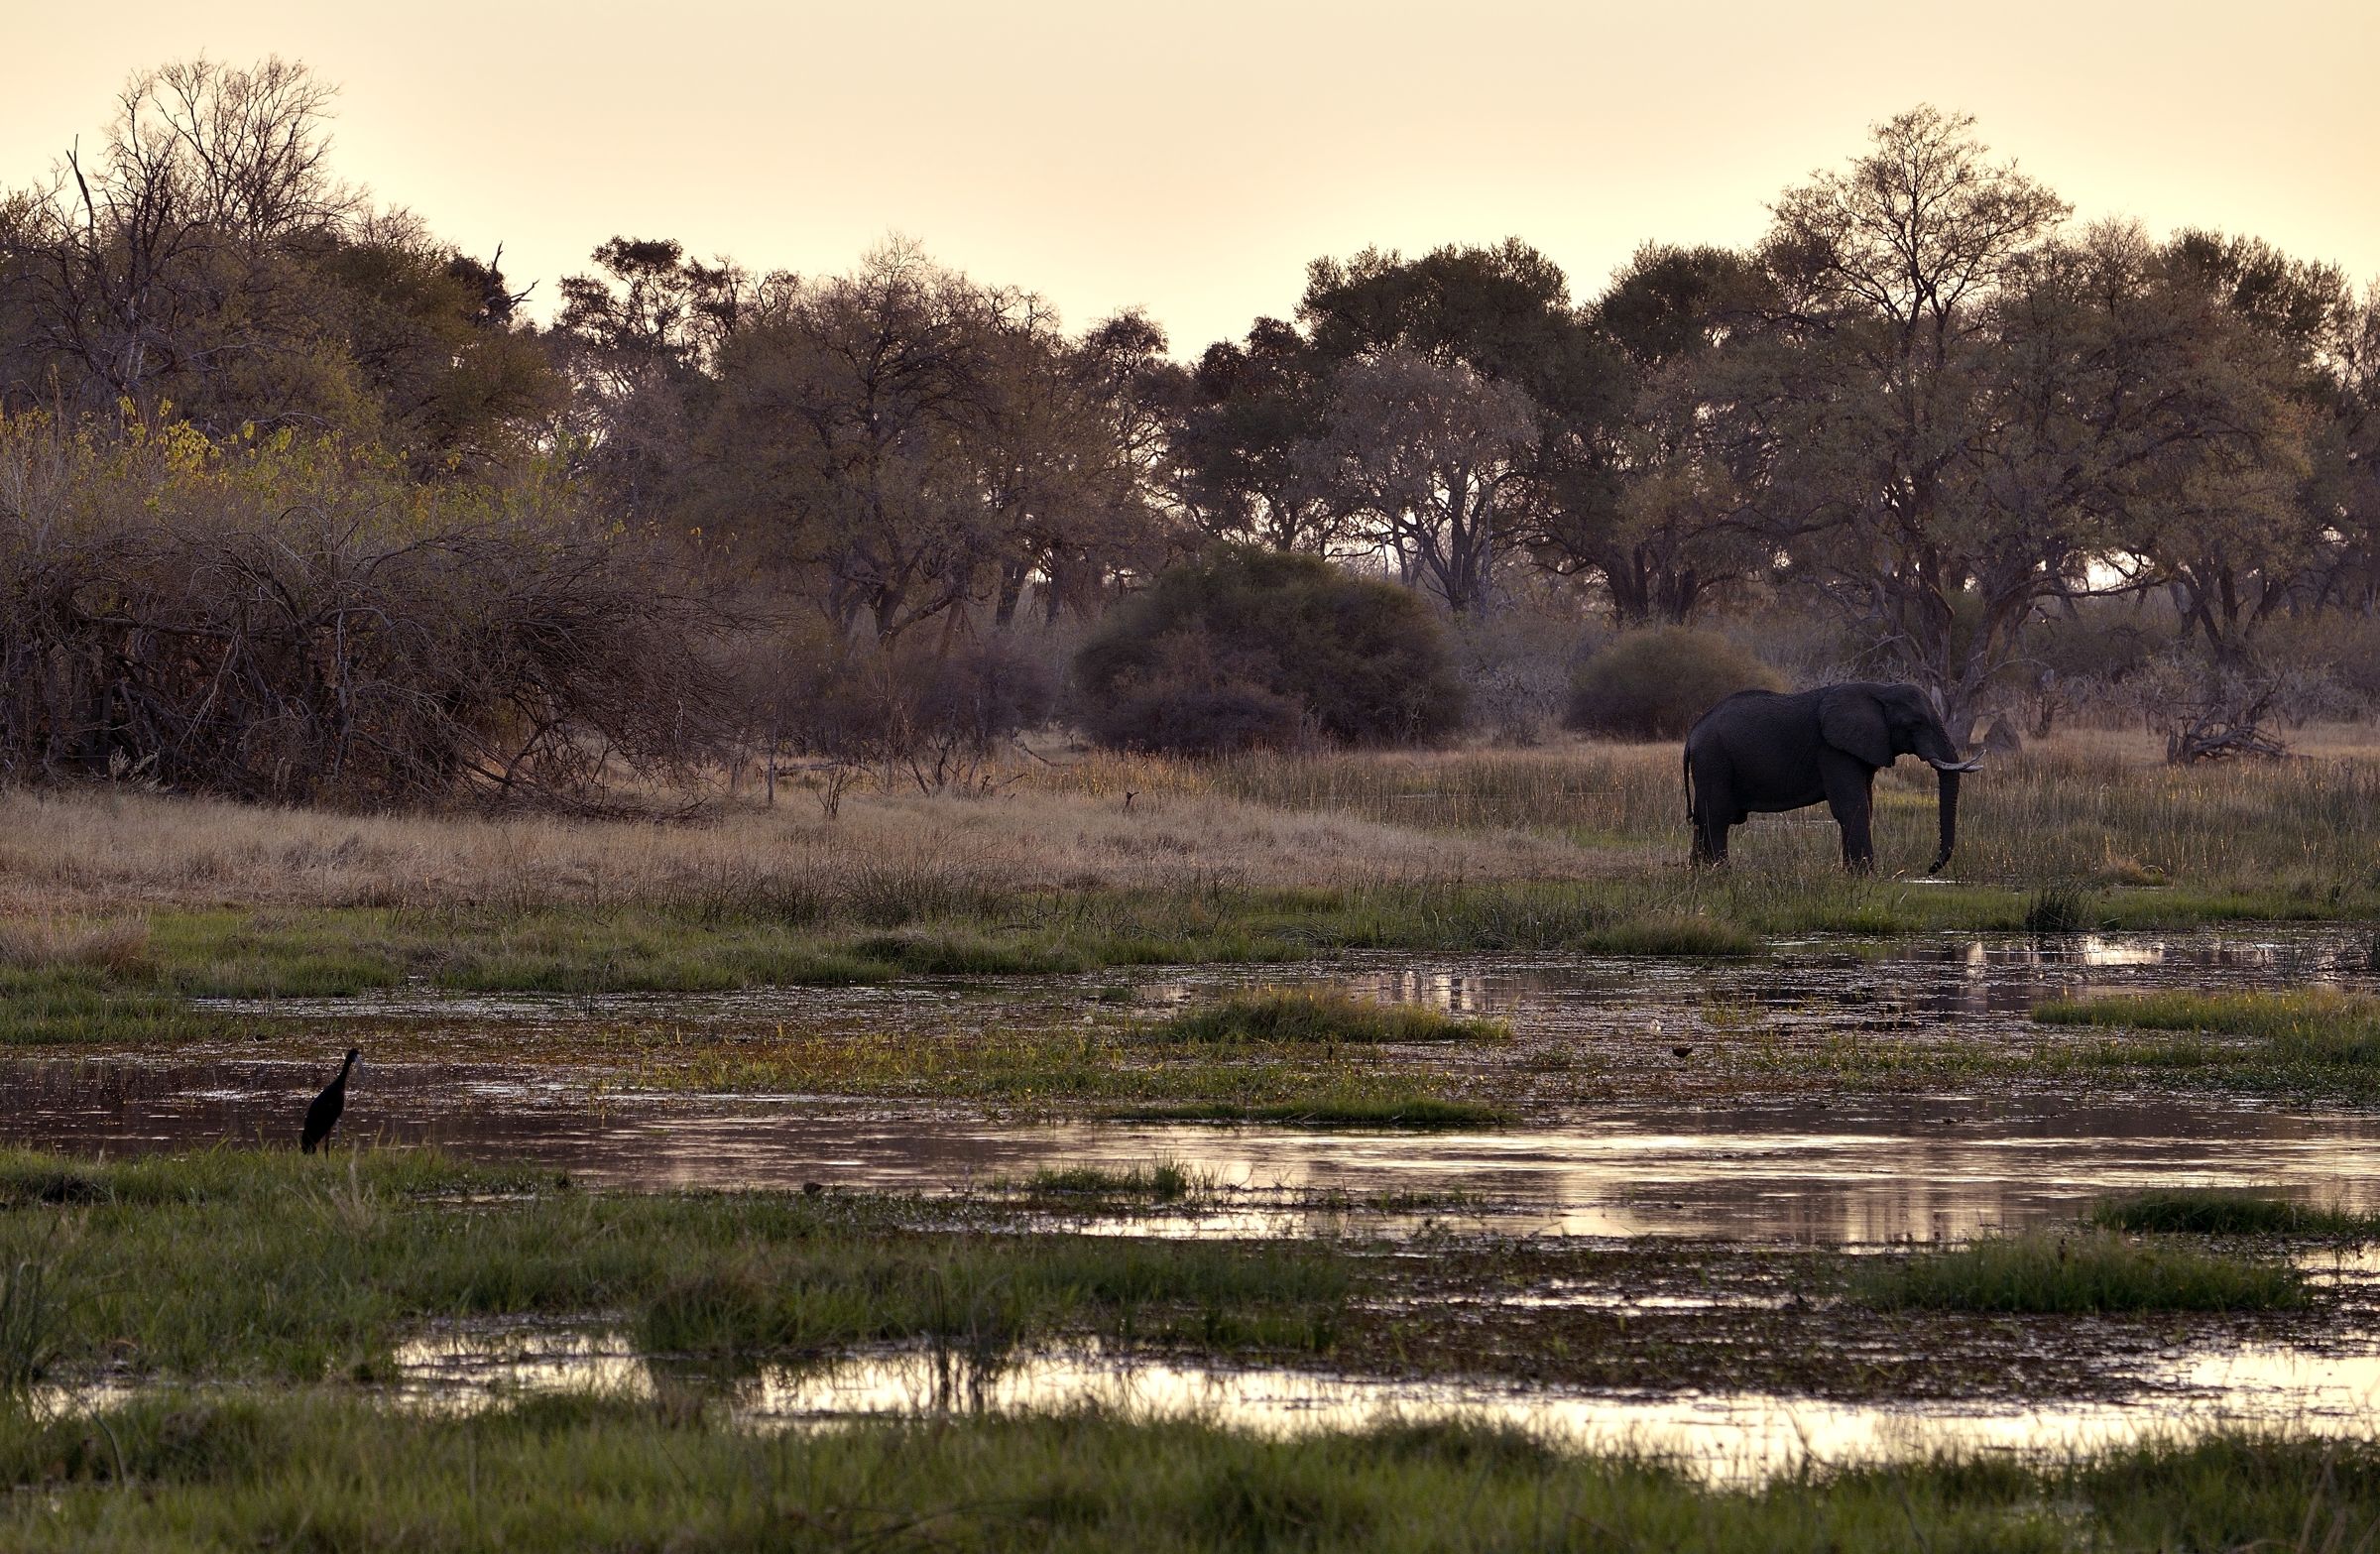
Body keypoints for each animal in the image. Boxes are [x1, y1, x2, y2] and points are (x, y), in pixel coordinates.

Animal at [1683, 682, 1981, 873]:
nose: (1931, 869)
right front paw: (1864, 877)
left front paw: (1853, 875)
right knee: (1716, 817)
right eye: (1916, 723)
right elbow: (1852, 806)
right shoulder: (1832, 749)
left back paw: (1699, 873)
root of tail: (1692, 734)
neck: (1881, 690)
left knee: (1703, 818)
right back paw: (1721, 874)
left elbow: (1865, 805)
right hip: (1714, 759)